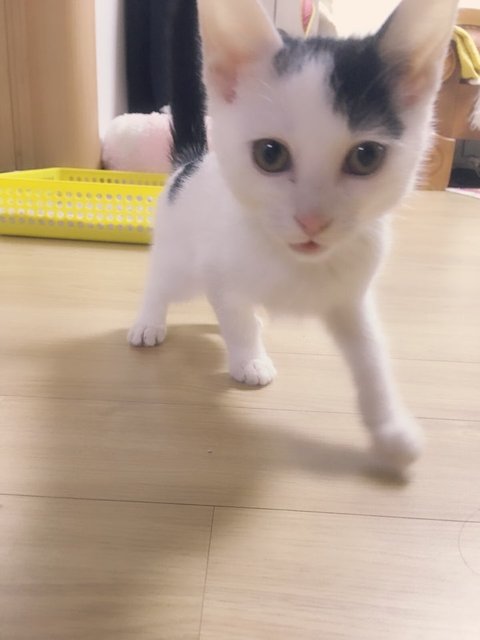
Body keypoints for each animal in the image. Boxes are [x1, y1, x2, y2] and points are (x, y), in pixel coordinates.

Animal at [128, 0, 458, 473]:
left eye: (366, 157)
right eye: (270, 154)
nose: (312, 220)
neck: (293, 262)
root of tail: (190, 162)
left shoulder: (351, 297)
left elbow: (372, 356)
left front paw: (391, 429)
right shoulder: (222, 271)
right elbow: (236, 317)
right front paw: (249, 359)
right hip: (181, 258)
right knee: (162, 283)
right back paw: (149, 323)